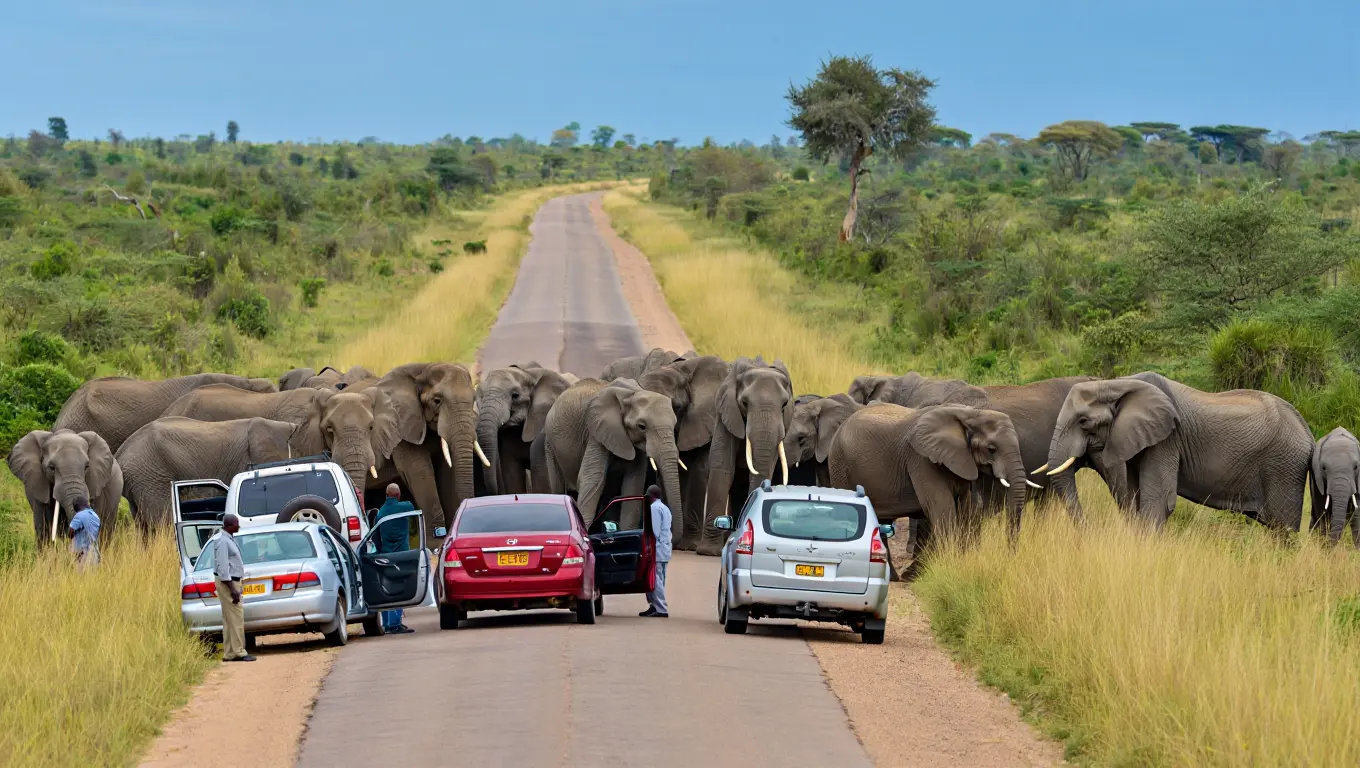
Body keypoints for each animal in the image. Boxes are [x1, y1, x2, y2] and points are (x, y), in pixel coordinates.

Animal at [543, 378, 684, 532]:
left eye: (675, 425)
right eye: (642, 426)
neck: (632, 393)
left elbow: (633, 483)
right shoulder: (596, 432)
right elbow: (592, 479)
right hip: (550, 446)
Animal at [828, 403, 1029, 574]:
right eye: (992, 449)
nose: (1009, 559)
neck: (970, 413)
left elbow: (966, 507)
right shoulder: (922, 459)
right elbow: (943, 508)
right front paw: (948, 567)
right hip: (839, 465)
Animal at [1045, 372, 1314, 530]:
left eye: (1083, 422)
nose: (1089, 530)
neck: (1116, 383)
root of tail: (1309, 433)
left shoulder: (1167, 439)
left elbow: (1158, 502)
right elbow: (1134, 498)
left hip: (1284, 467)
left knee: (1282, 527)